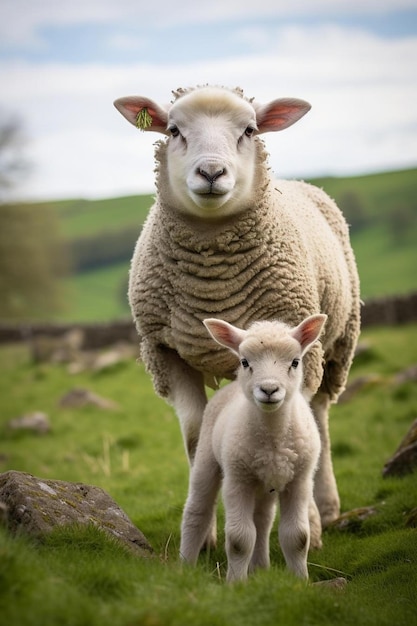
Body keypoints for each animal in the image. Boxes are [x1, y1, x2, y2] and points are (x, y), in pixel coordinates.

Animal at [114, 85, 360, 528]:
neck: (214, 280)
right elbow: (197, 436)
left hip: (336, 346)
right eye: (174, 130)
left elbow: (301, 425)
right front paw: (207, 529)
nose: (212, 173)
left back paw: (327, 508)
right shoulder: (166, 352)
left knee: (319, 416)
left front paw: (306, 521)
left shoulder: (298, 346)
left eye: (249, 130)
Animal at [179, 312, 324, 580]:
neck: (274, 437)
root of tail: (230, 387)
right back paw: (184, 568)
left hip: (266, 483)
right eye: (245, 362)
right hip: (207, 459)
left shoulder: (299, 481)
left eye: (295, 362)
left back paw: (260, 566)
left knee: (262, 520)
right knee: (196, 512)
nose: (269, 389)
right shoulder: (238, 480)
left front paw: (300, 582)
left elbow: (297, 537)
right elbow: (239, 540)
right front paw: (236, 583)